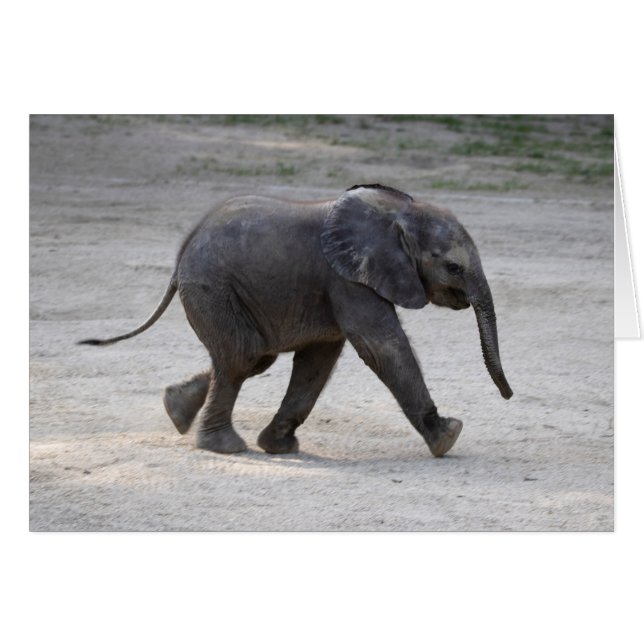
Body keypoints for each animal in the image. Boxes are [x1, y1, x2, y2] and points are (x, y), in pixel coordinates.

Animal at [80, 183, 513, 457]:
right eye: (454, 267)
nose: (509, 396)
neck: (398, 213)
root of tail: (180, 255)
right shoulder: (346, 278)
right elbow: (381, 346)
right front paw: (448, 437)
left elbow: (319, 360)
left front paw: (279, 447)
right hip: (212, 287)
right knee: (243, 356)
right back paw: (225, 447)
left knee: (252, 358)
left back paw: (175, 408)